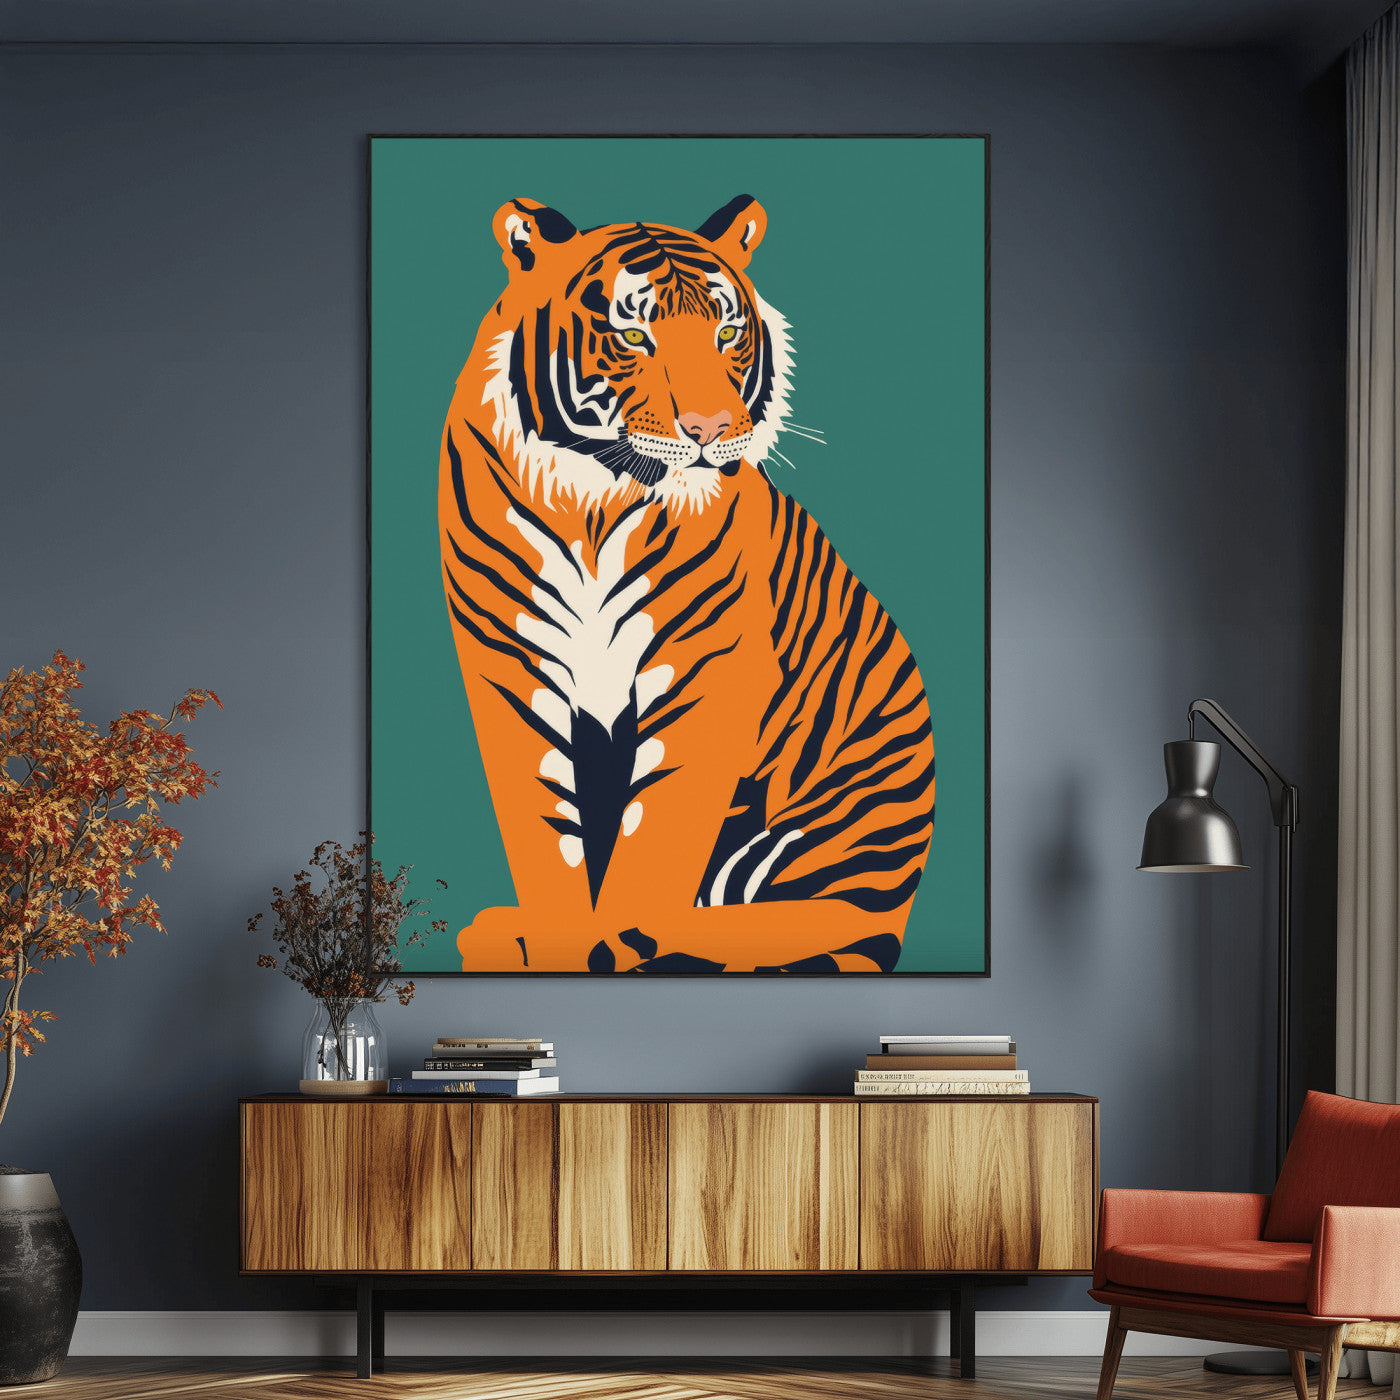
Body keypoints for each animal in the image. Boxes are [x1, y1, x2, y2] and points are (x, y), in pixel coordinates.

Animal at [438, 194, 935, 973]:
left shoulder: (706, 664)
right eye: (632, 334)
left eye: (727, 332)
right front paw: (553, 933)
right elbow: (544, 822)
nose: (712, 429)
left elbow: (656, 831)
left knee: (825, 919)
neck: (595, 502)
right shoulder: (510, 659)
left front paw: (616, 934)